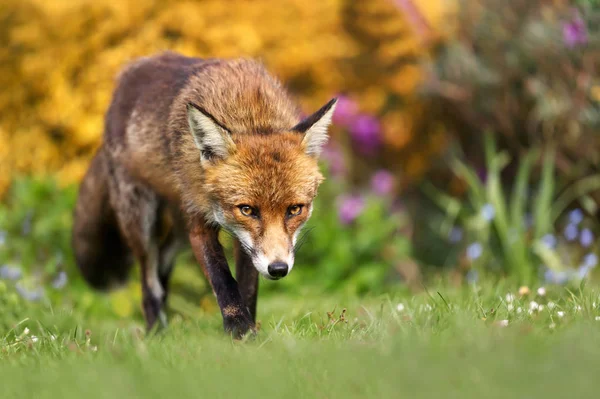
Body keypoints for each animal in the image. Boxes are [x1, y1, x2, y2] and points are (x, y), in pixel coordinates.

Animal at [72, 52, 336, 338]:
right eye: (247, 209)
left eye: (295, 209)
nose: (278, 268)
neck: (250, 116)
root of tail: (127, 72)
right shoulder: (199, 225)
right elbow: (224, 282)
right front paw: (240, 332)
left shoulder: (245, 244)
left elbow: (247, 289)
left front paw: (249, 333)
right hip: (141, 219)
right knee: (148, 280)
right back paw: (156, 333)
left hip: (178, 230)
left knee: (162, 266)